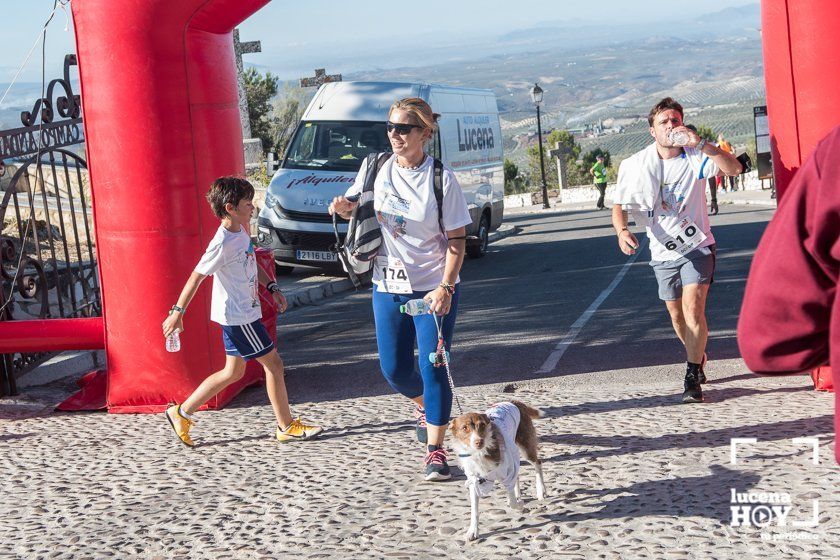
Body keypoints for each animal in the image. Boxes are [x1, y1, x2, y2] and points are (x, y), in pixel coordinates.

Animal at [450, 400, 548, 540]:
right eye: (464, 428)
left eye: (482, 425)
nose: (479, 442)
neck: (480, 453)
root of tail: (514, 402)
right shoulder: (474, 480)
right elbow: (474, 511)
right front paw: (473, 531)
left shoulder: (508, 471)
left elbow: (512, 502)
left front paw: (519, 505)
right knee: (518, 473)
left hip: (525, 447)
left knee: (538, 463)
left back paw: (541, 491)